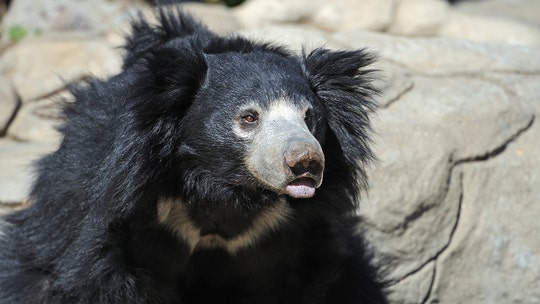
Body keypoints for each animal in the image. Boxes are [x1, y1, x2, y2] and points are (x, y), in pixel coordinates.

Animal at [0, 8, 386, 302]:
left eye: (309, 117)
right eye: (249, 118)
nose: (305, 162)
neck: (223, 186)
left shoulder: (291, 232)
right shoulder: (127, 207)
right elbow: (103, 275)